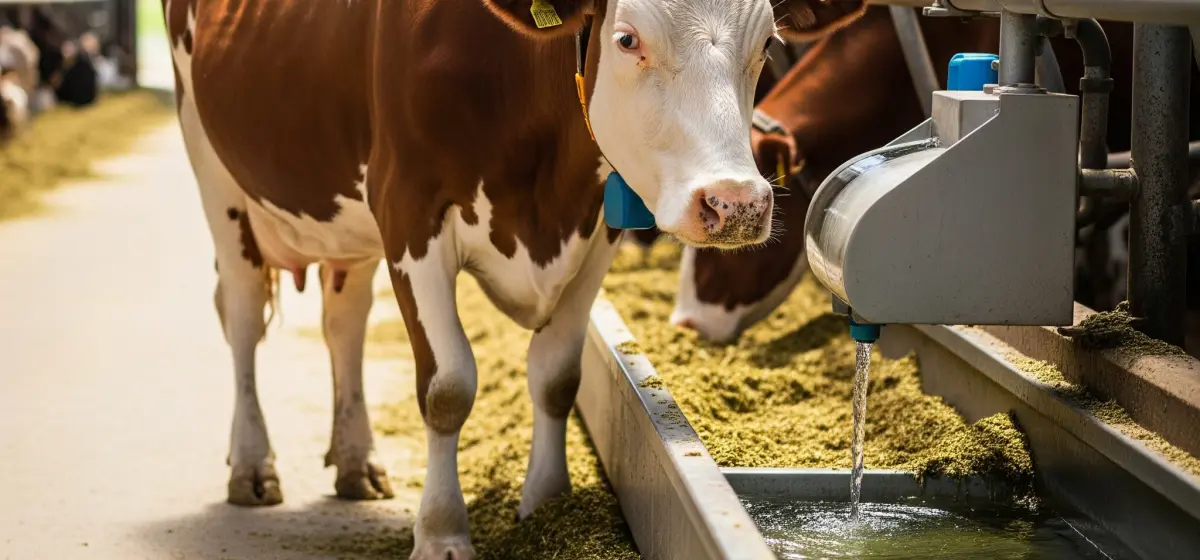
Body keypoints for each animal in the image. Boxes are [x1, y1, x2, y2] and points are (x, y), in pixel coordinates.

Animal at [163, 0, 867, 557]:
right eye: (627, 39)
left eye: (768, 43)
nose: (736, 204)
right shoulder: (407, 209)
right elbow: (447, 385)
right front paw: (442, 534)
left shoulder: (597, 225)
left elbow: (556, 377)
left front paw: (548, 506)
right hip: (213, 171)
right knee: (243, 316)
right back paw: (253, 467)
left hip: (342, 212)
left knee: (345, 320)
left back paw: (357, 460)